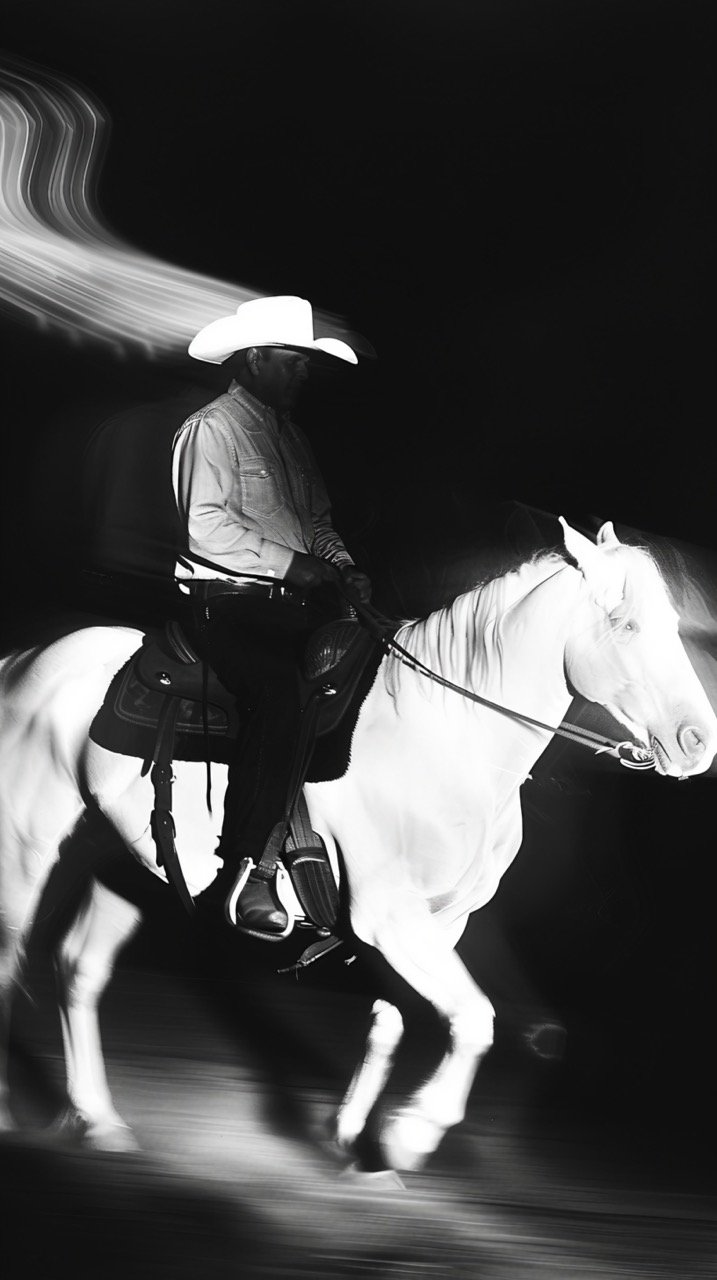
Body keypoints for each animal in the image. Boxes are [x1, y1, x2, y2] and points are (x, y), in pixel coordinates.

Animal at [1, 519, 717, 1172]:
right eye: (626, 625)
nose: (696, 743)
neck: (444, 730)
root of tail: (28, 657)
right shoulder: (390, 917)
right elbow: (475, 1018)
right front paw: (411, 1133)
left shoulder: (438, 925)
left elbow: (394, 1023)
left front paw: (350, 1137)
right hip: (27, 848)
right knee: (14, 952)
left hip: (120, 859)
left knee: (79, 968)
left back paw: (99, 1120)